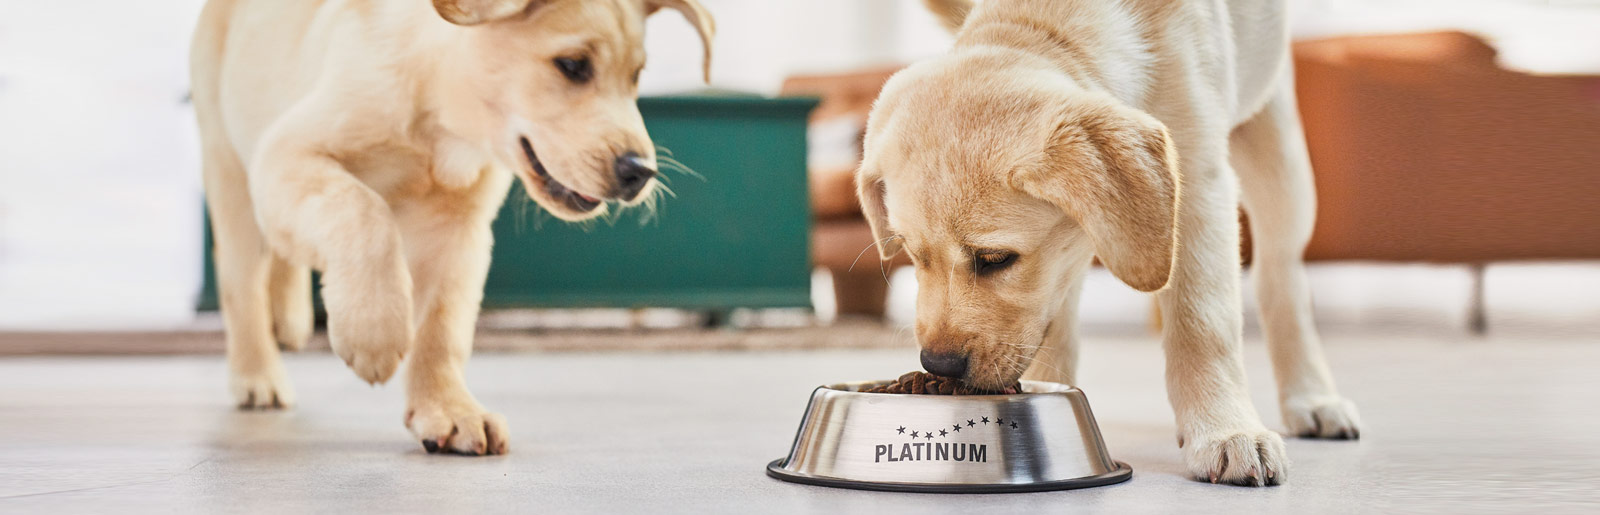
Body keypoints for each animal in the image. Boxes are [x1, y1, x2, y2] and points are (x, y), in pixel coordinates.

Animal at [188, 0, 713, 454]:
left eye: (636, 77)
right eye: (572, 65)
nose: (640, 172)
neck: (440, 122)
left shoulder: (460, 229)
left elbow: (443, 325)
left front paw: (448, 410)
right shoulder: (286, 155)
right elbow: (364, 211)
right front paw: (373, 335)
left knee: (283, 250)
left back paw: (290, 317)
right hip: (231, 166)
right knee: (241, 280)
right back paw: (258, 376)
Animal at [864, 0, 1363, 486]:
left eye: (995, 259)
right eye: (912, 256)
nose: (938, 364)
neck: (1046, 21)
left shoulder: (1198, 188)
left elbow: (1202, 323)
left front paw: (1225, 431)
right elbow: (1054, 328)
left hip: (1279, 153)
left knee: (1282, 278)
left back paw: (1312, 398)